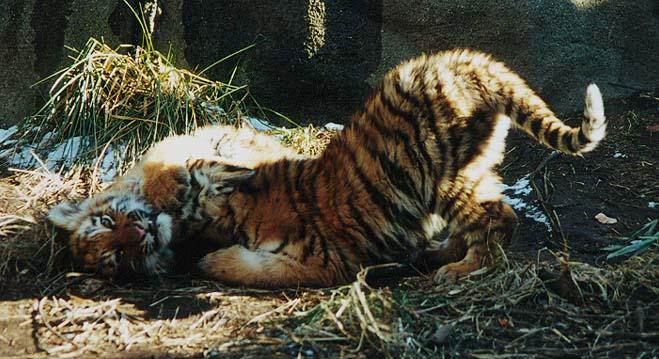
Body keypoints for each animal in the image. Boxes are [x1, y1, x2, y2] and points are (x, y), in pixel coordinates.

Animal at [183, 49, 604, 288]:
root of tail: (467, 62)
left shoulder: (324, 260)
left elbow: (250, 269)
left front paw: (209, 262)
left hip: (439, 176)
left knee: (498, 216)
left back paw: (462, 270)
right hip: (471, 165)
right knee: (481, 217)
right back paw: (434, 254)